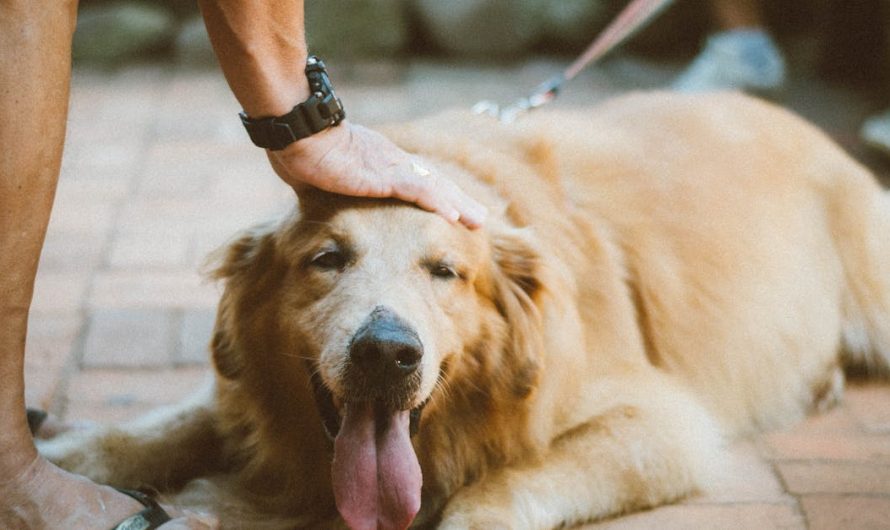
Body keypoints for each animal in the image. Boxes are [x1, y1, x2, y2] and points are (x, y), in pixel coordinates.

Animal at [38, 93, 888, 524]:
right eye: (327, 259)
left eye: (445, 271)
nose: (387, 352)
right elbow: (162, 427)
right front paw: (63, 456)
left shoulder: (660, 423)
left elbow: (496, 490)